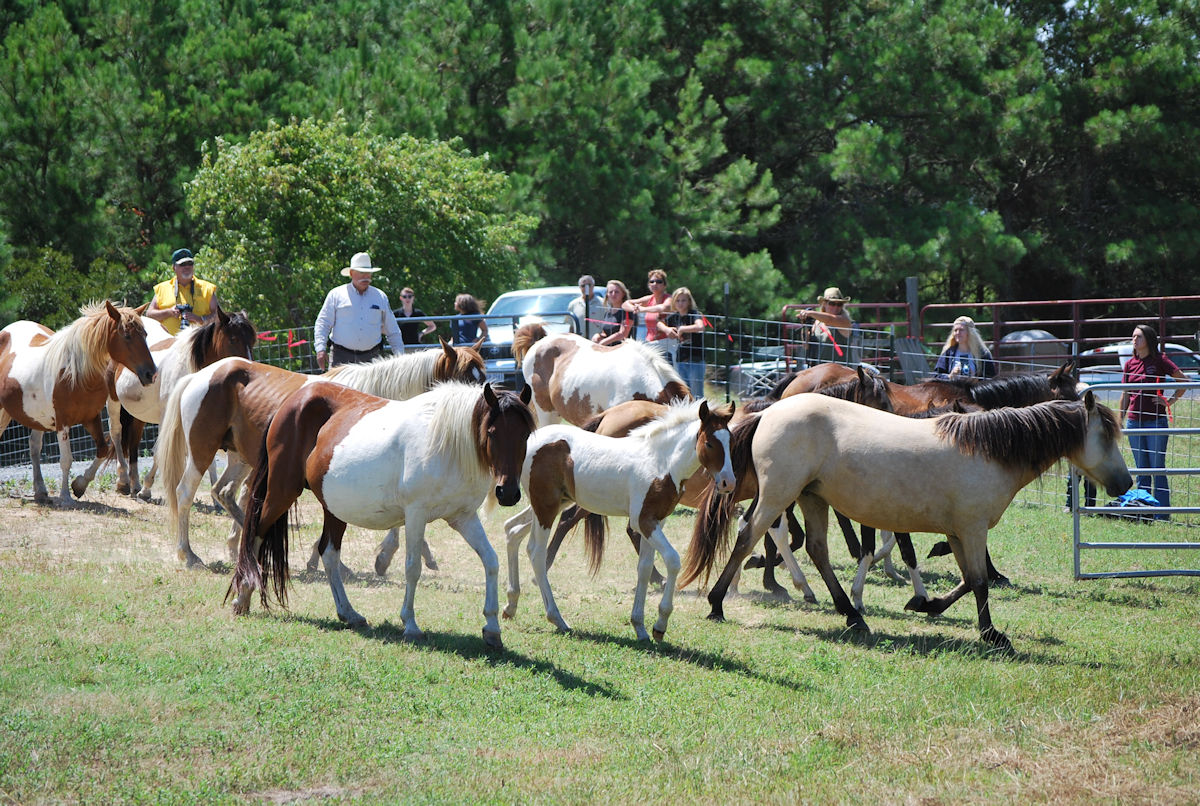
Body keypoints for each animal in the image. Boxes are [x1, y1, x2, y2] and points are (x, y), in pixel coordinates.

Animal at [0, 302, 157, 503]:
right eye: (127, 336)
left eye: (145, 335)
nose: (150, 373)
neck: (75, 374)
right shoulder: (62, 423)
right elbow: (66, 460)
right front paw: (65, 496)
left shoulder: (91, 418)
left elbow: (102, 449)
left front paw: (79, 485)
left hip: (37, 418)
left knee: (34, 446)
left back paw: (40, 490)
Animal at [159, 340, 487, 566]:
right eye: (464, 377)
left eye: (481, 374)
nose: (484, 404)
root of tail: (201, 375)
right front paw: (378, 558)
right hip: (202, 452)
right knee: (185, 493)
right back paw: (188, 554)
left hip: (240, 458)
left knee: (224, 492)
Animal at [681, 393, 1128, 652]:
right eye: (1105, 437)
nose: (1126, 483)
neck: (988, 451)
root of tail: (771, 411)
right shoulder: (972, 528)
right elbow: (980, 582)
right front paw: (992, 635)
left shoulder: (958, 531)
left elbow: (967, 579)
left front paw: (926, 604)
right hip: (779, 494)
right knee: (748, 537)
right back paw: (717, 603)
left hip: (811, 498)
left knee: (817, 550)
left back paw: (852, 615)